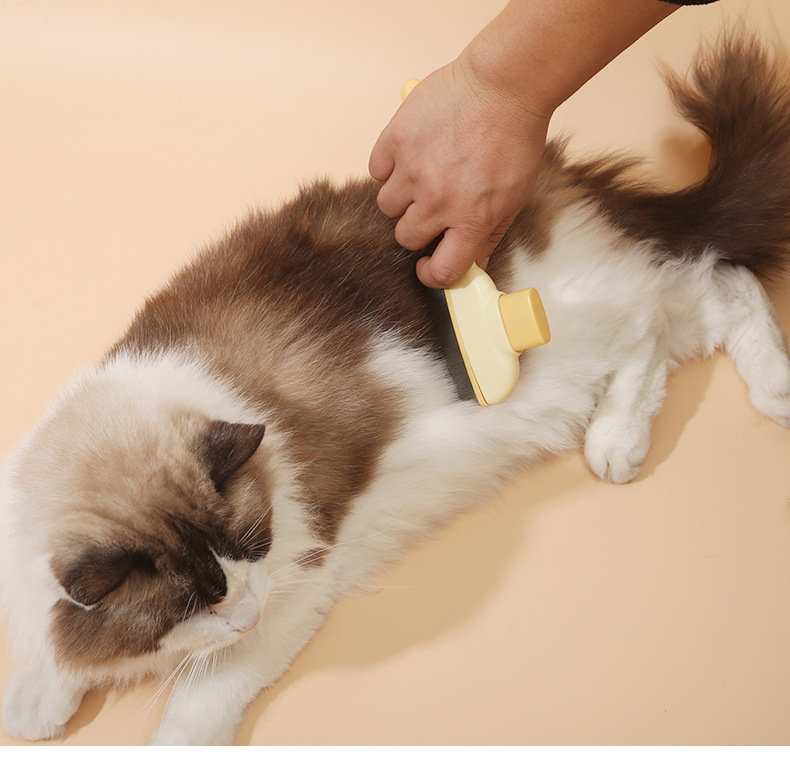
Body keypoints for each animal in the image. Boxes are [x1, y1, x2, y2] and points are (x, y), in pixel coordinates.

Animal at [2, 30, 790, 746]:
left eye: (255, 551)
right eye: (195, 604)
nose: (246, 612)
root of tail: (556, 176)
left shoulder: (302, 578)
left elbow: (206, 696)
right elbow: (50, 643)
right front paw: (36, 703)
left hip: (578, 335)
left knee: (680, 300)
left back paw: (654, 431)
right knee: (711, 288)